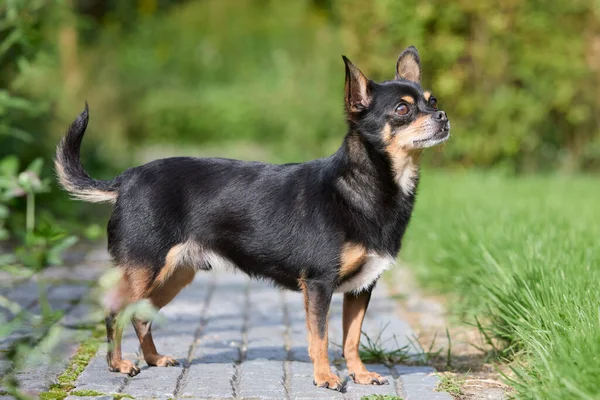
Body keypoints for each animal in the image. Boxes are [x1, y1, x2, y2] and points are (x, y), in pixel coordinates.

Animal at [56, 46, 450, 390]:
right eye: (402, 109)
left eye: (432, 102)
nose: (443, 116)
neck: (367, 184)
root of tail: (127, 179)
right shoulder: (319, 285)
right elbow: (321, 336)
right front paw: (326, 377)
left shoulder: (361, 288)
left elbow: (351, 338)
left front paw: (361, 374)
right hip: (145, 269)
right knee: (115, 311)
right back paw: (118, 365)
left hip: (174, 274)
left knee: (140, 314)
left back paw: (154, 359)